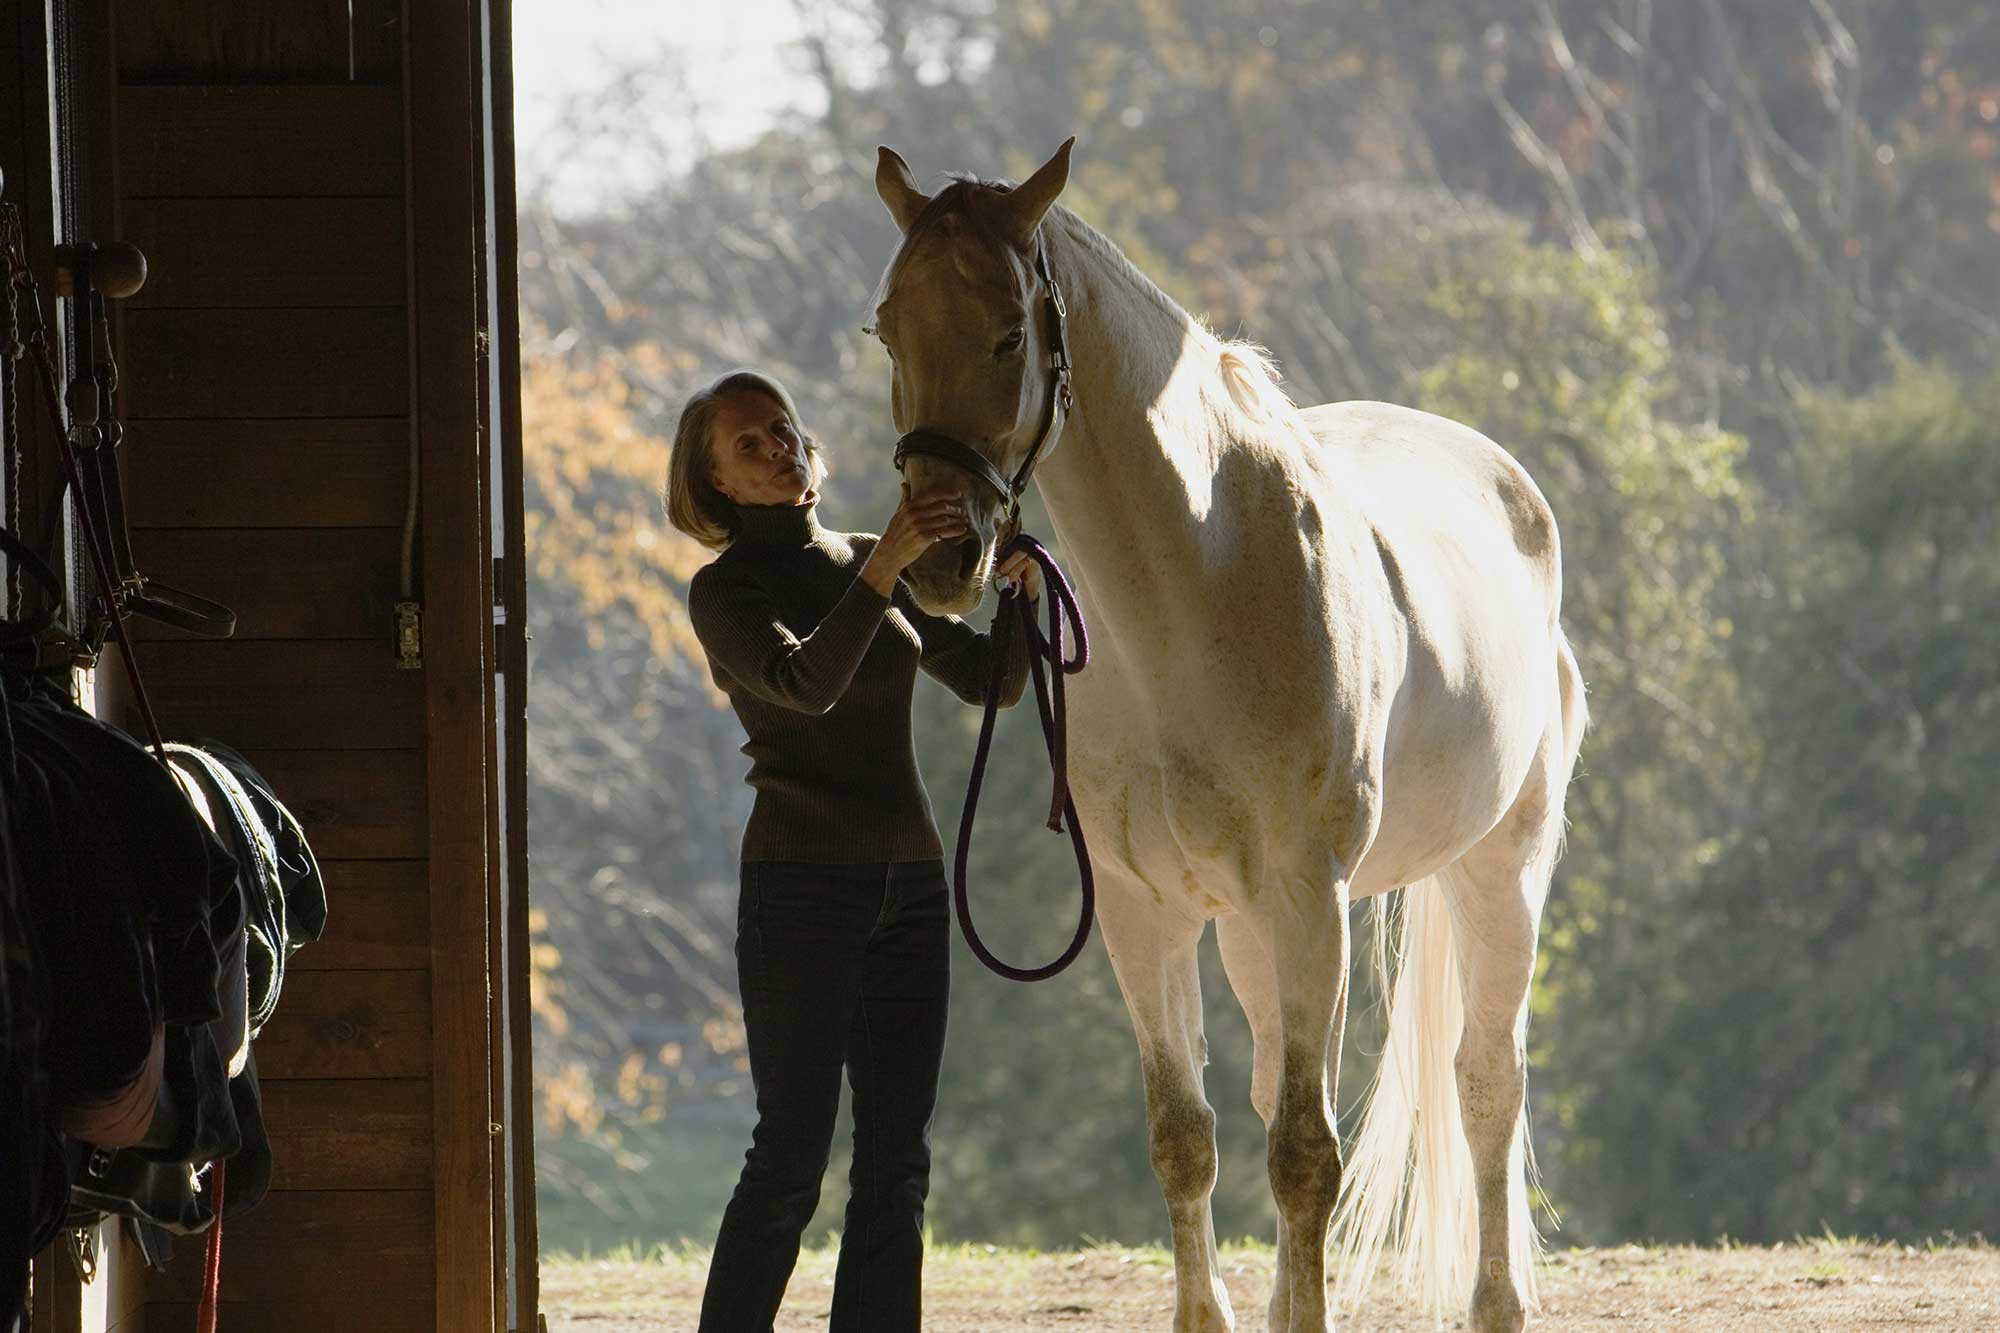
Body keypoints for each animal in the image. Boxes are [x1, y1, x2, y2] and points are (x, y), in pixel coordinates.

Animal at [868, 140, 1584, 1320]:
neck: (1190, 599)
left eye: (1010, 332)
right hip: (1254, 931)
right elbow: (1186, 1136)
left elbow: (1305, 1154)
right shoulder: (1142, 910)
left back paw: (1496, 1305)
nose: (937, 555)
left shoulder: (1305, 895)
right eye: (887, 327)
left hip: (1495, 869)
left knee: (1485, 1084)